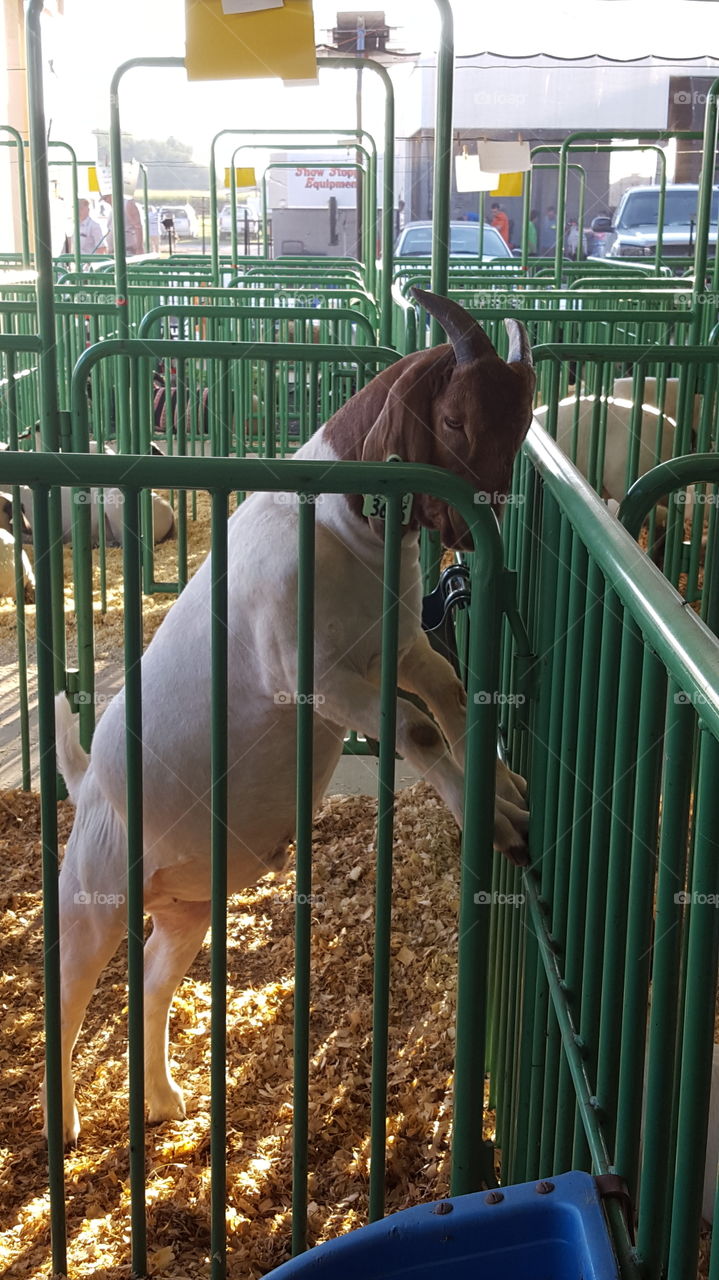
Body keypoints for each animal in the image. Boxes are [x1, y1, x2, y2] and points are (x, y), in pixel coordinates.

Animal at [45, 288, 535, 1143]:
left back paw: (166, 1101)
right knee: (69, 997)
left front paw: (502, 788)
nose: (479, 533)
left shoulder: (397, 648)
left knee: (152, 981)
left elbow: (444, 690)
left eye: (523, 424)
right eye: (451, 422)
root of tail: (85, 782)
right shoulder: (316, 677)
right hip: (92, 895)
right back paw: (66, 1123)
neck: (339, 532)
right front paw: (497, 822)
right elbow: (411, 728)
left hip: (188, 908)